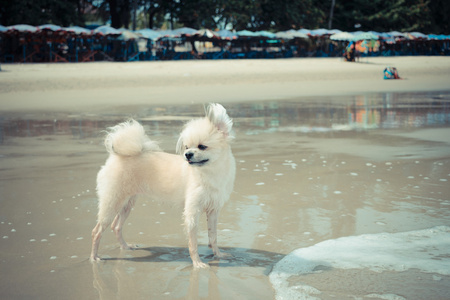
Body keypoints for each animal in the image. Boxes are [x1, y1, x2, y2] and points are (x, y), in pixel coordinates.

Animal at [90, 103, 236, 268]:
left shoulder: (213, 210)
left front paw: (218, 254)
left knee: (116, 226)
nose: (187, 154)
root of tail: (117, 156)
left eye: (202, 146)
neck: (210, 172)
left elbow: (213, 235)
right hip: (112, 202)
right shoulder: (192, 212)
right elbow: (193, 242)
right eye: (187, 147)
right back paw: (94, 257)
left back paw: (125, 247)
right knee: (97, 231)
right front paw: (197, 263)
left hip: (127, 203)